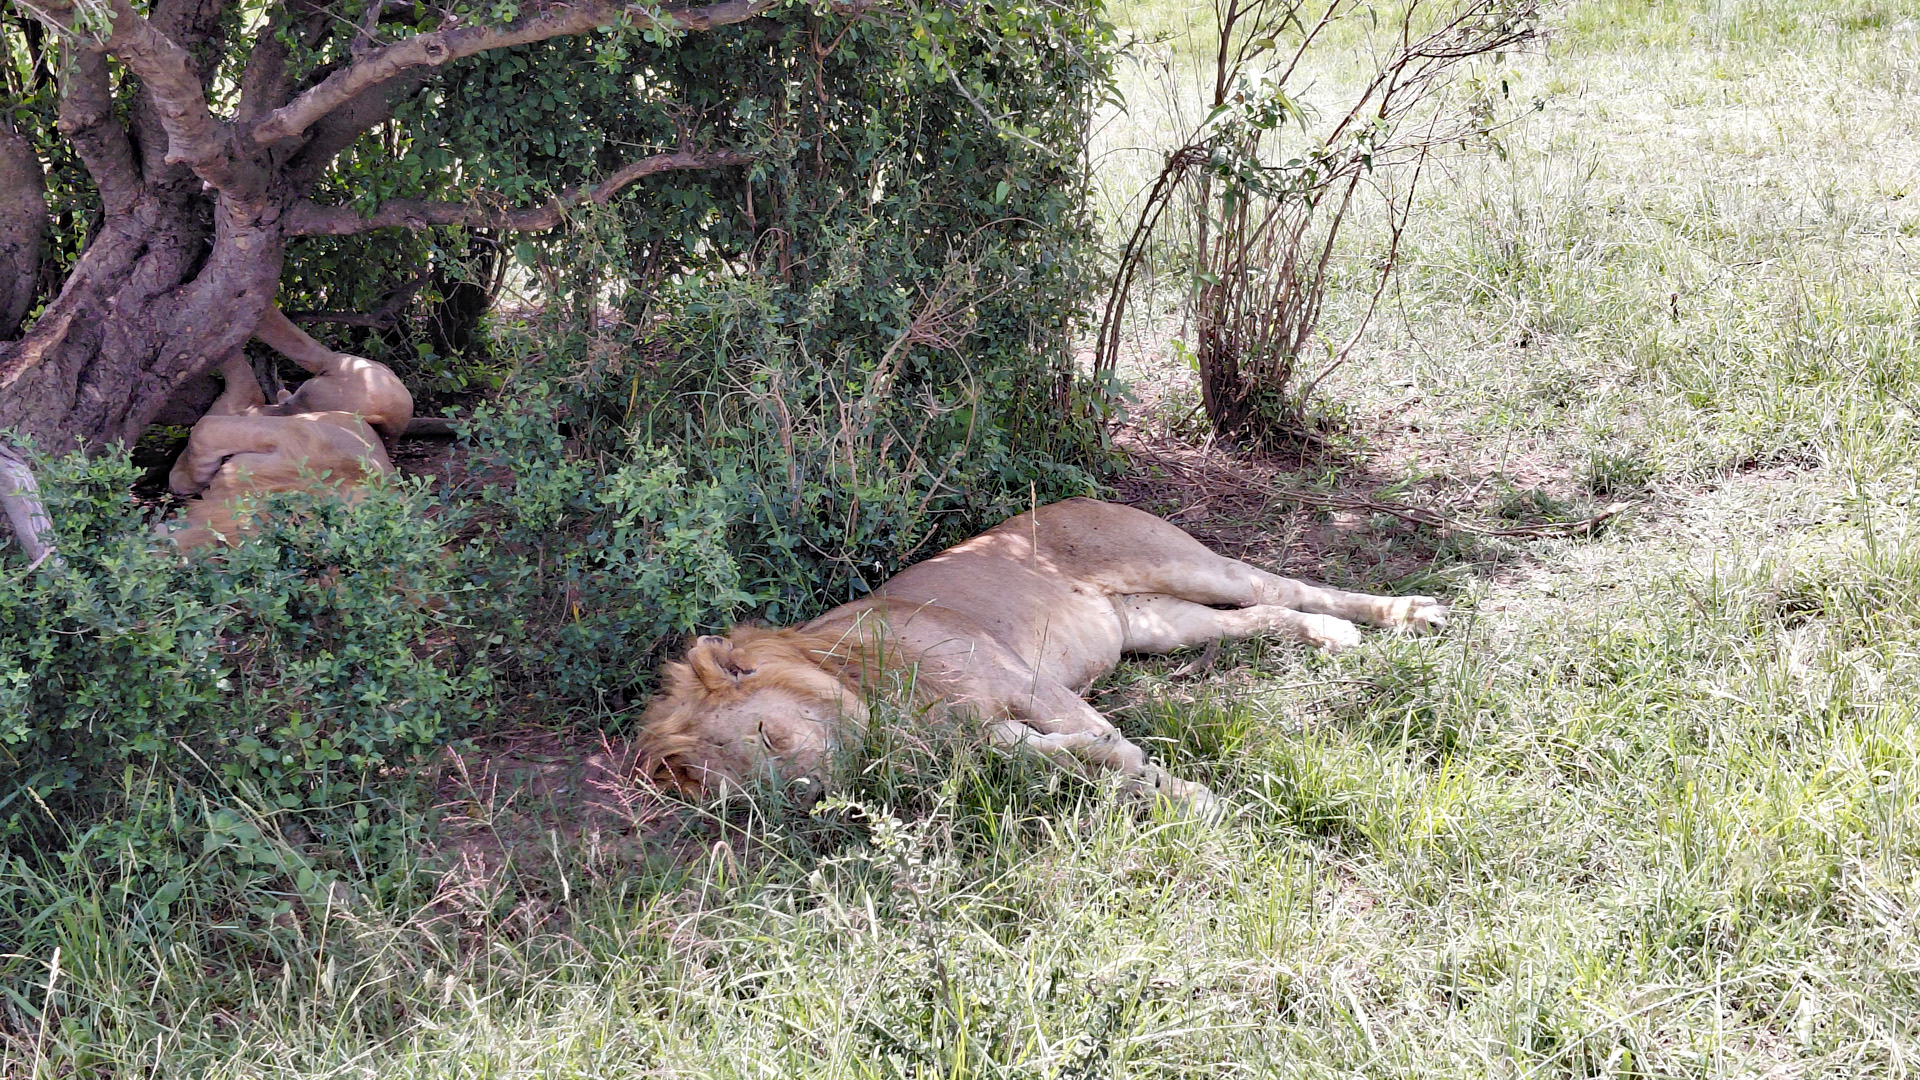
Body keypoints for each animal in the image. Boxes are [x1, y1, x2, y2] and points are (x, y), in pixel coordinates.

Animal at [639, 498, 1446, 810]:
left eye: (768, 736)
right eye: (739, 797)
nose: (807, 801)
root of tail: (1084, 496)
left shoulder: (1023, 684)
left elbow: (1113, 746)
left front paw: (1193, 798)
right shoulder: (987, 735)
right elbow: (1069, 757)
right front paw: (1141, 779)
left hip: (1185, 565)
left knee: (1284, 583)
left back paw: (1405, 614)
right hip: (1156, 623)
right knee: (1264, 615)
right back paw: (1336, 639)